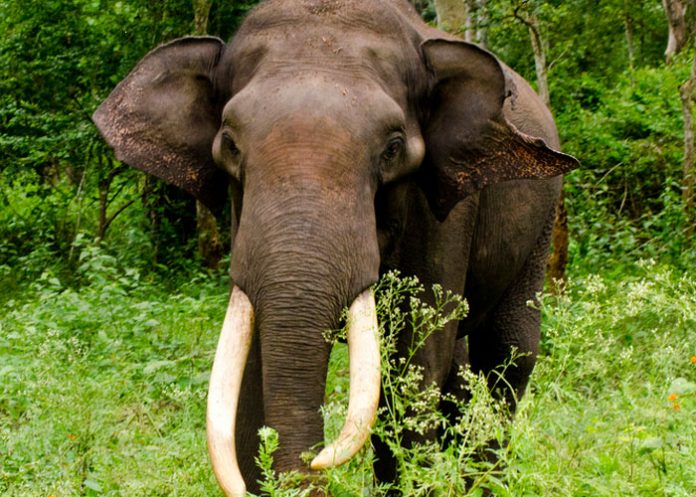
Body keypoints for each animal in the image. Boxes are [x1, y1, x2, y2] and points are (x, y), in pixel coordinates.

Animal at [93, 0, 578, 495]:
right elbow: (254, 370)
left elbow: (413, 365)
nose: (317, 460)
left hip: (542, 222)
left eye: (393, 148)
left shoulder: (445, 211)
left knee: (507, 356)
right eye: (229, 144)